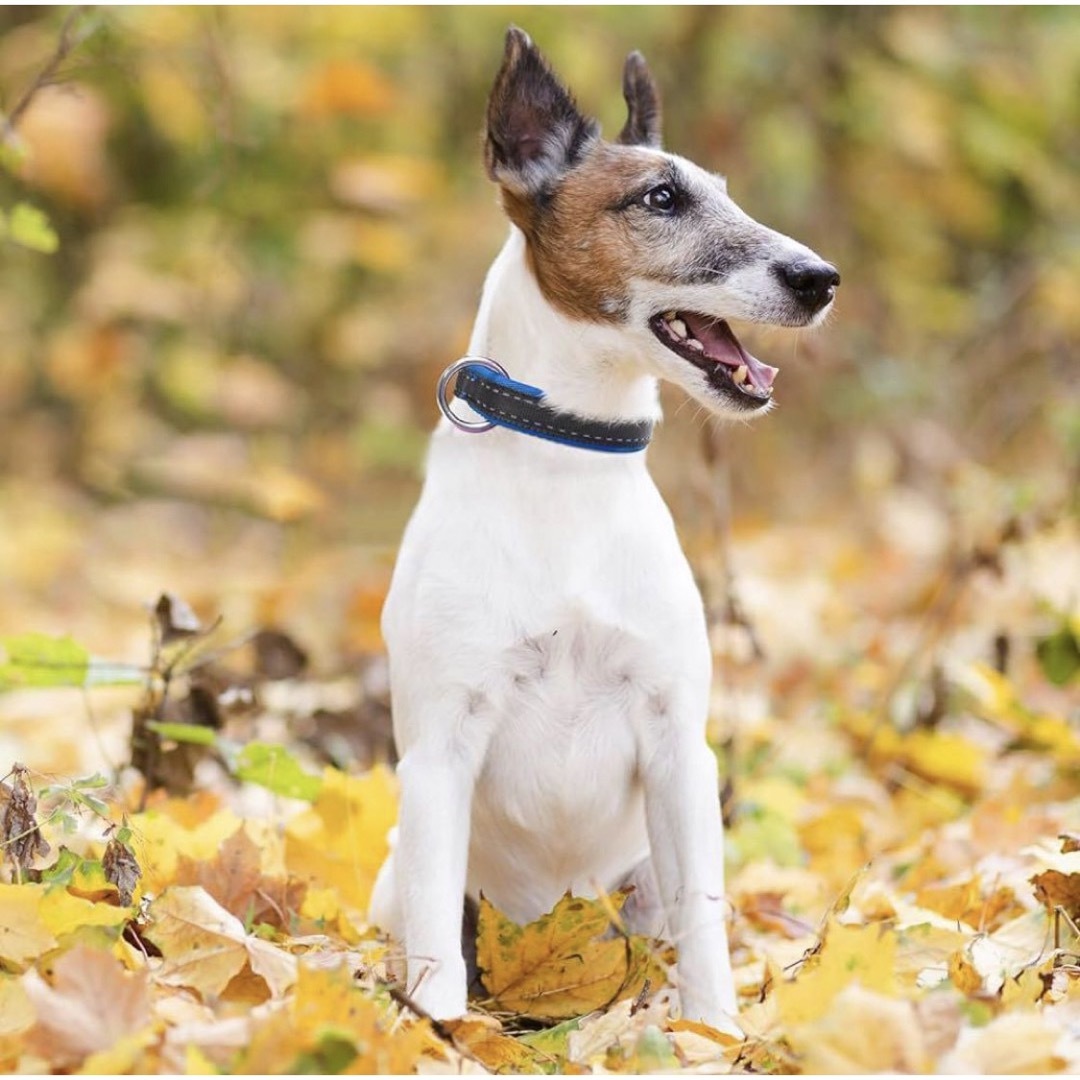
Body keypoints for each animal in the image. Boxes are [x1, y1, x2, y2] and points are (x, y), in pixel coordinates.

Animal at [367, 29, 838, 1032]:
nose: (821, 280)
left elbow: (706, 929)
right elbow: (436, 961)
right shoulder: (438, 758)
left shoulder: (678, 751)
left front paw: (715, 1036)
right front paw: (440, 1038)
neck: (570, 460)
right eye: (660, 198)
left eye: (726, 192)